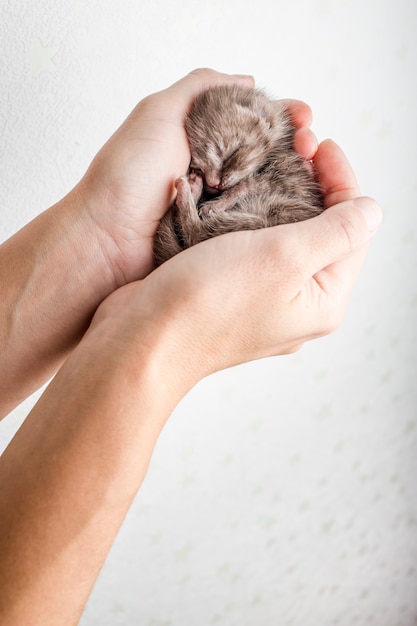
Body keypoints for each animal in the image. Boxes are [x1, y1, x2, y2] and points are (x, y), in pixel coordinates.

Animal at [154, 83, 324, 266]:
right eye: (198, 167)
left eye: (232, 154)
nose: (214, 184)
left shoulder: (284, 178)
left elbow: (244, 186)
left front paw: (217, 204)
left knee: (196, 234)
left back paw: (189, 191)